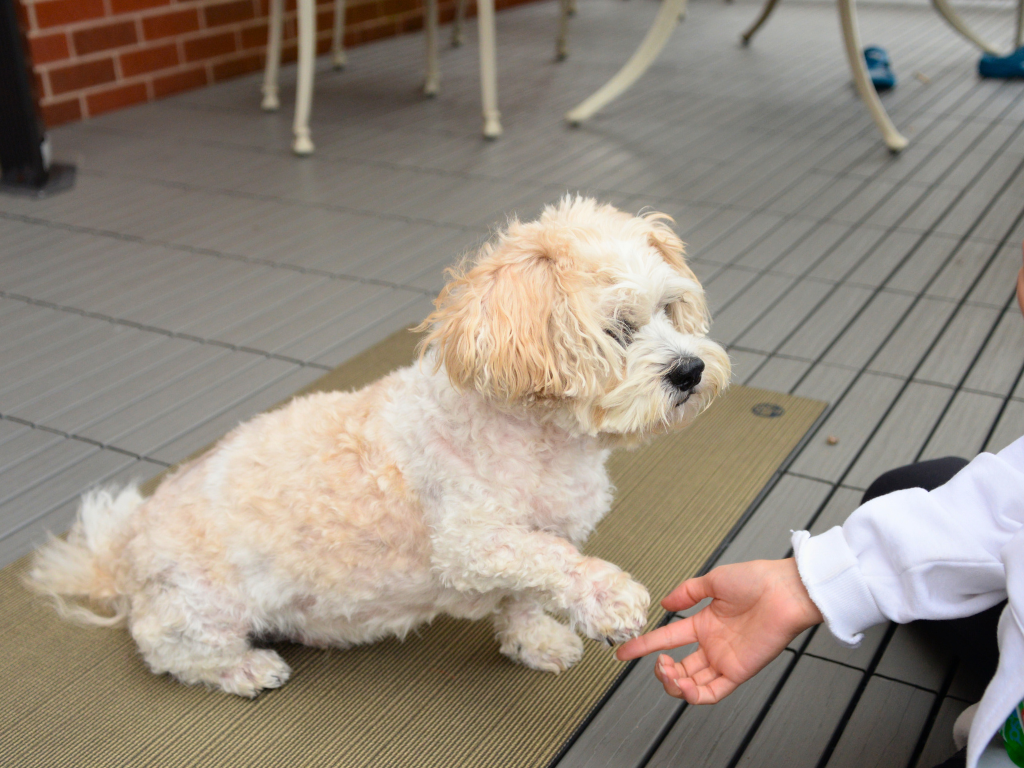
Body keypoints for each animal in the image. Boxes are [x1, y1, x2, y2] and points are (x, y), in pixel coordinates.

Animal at [28, 196, 733, 696]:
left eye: (670, 310)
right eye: (618, 330)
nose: (691, 369)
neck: (539, 439)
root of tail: (121, 553)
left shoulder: (538, 536)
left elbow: (526, 594)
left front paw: (536, 640)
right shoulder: (473, 542)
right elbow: (549, 563)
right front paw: (608, 599)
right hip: (200, 606)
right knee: (169, 649)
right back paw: (247, 669)